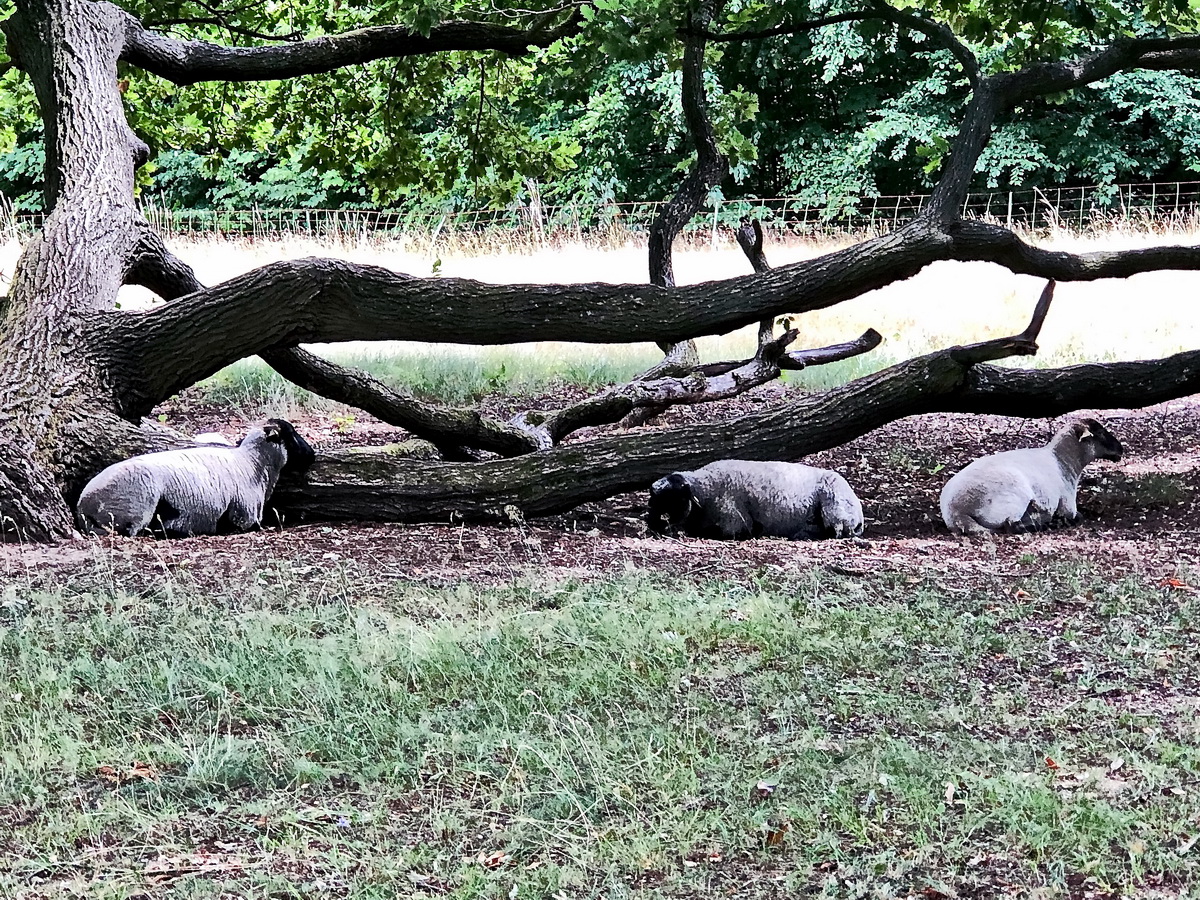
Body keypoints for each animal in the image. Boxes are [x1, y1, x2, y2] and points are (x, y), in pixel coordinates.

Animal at [76, 422, 314, 540]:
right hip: (139, 503)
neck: (251, 462)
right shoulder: (243, 517)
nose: (311, 455)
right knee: (133, 532)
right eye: (291, 434)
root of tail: (82, 505)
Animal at [648, 460, 864, 540]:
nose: (653, 526)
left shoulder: (734, 521)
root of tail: (860, 518)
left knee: (834, 532)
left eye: (673, 498)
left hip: (835, 510)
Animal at [936, 422, 1123, 540]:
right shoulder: (1068, 506)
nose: (1121, 449)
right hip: (1015, 495)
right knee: (1012, 526)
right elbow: (1078, 517)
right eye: (1100, 433)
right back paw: (1046, 522)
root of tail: (957, 512)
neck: (1062, 461)